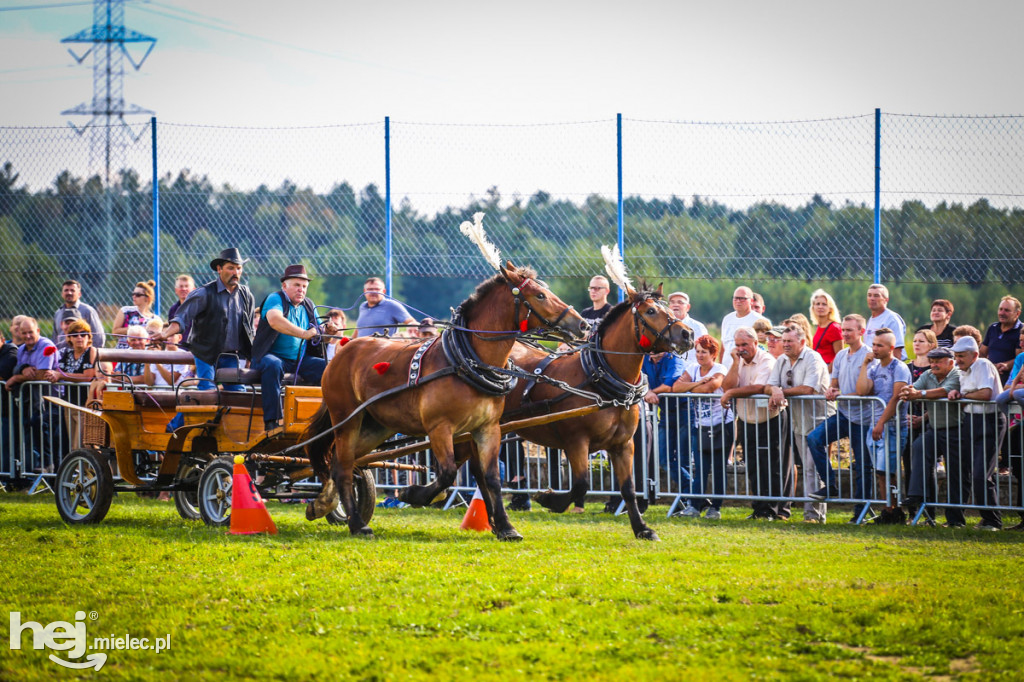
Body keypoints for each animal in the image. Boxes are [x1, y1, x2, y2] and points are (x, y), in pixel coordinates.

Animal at [301, 262, 585, 540]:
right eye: (539, 295)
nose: (582, 324)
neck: (466, 363)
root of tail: (342, 351)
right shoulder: (439, 427)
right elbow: (448, 473)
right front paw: (413, 494)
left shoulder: (488, 428)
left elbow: (491, 477)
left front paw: (506, 527)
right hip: (346, 419)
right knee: (344, 467)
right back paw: (357, 523)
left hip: (376, 426)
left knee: (340, 462)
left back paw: (323, 505)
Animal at [491, 280, 692, 536]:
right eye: (650, 311)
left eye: (669, 309)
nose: (688, 334)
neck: (599, 378)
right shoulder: (576, 441)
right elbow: (581, 484)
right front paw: (549, 499)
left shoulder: (623, 444)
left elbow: (628, 489)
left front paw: (642, 528)